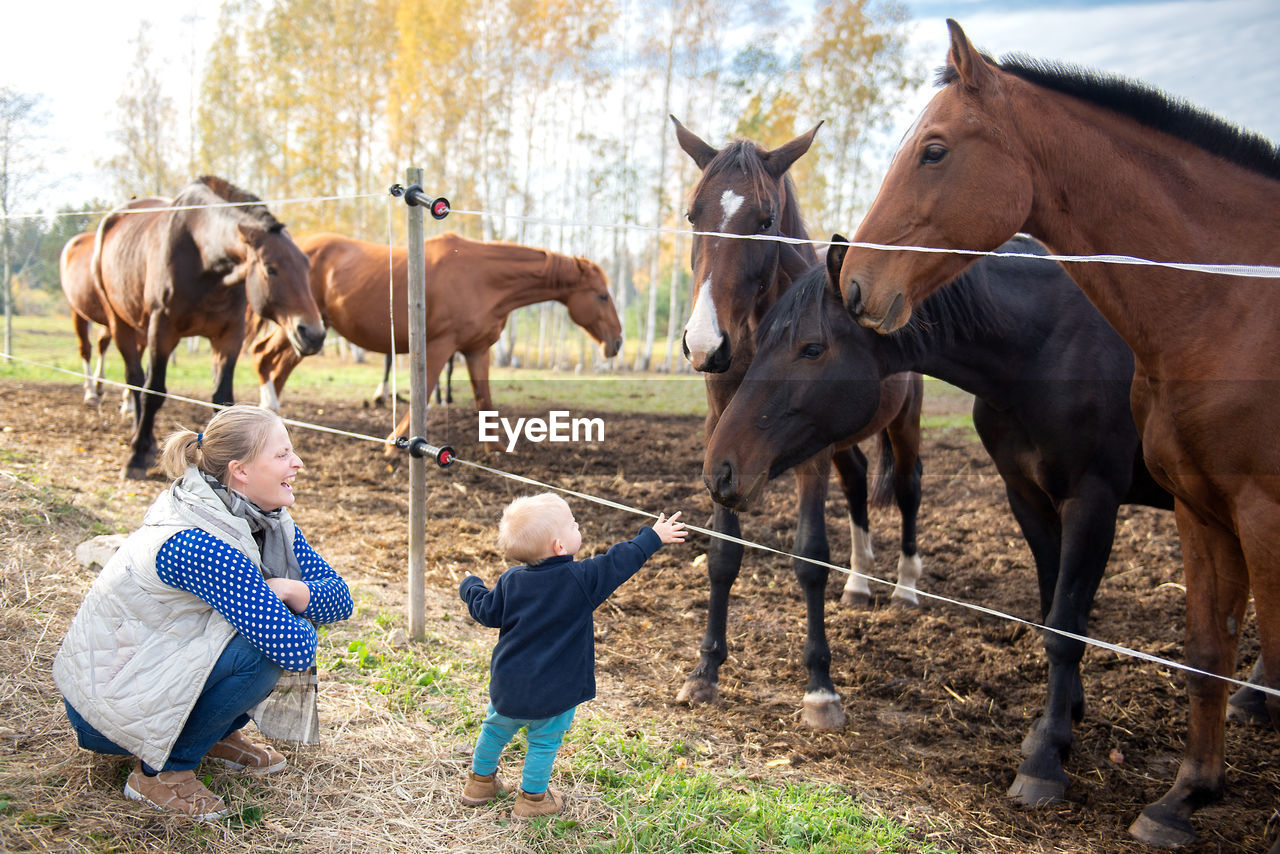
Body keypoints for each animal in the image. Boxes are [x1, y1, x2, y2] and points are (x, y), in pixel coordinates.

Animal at [92, 176, 325, 478]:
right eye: (270, 268)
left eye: (307, 266)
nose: (313, 334)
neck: (203, 259)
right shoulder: (162, 330)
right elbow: (154, 392)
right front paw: (135, 457)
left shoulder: (229, 336)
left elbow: (222, 399)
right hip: (120, 324)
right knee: (134, 380)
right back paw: (139, 443)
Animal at [245, 230, 624, 445]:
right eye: (602, 295)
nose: (617, 341)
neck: (484, 278)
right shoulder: (439, 346)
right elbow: (424, 394)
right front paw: (394, 443)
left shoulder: (476, 351)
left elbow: (484, 401)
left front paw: (494, 451)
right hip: (301, 327)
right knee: (263, 356)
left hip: (308, 334)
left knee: (276, 366)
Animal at [675, 117, 926, 732]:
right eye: (694, 215)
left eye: (765, 221)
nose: (705, 344)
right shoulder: (724, 437)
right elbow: (723, 554)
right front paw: (706, 670)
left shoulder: (807, 452)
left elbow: (810, 557)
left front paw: (820, 689)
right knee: (857, 481)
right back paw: (859, 584)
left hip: (903, 424)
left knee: (908, 489)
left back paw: (905, 588)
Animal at [711, 230, 1177, 814]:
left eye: (812, 348)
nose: (719, 467)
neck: (1045, 343)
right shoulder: (1028, 497)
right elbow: (1054, 609)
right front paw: (1061, 721)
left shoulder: (1092, 501)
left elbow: (1067, 626)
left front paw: (1046, 759)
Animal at [839, 18, 1280, 850]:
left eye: (934, 150)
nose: (855, 284)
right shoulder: (1081, 500)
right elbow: (1102, 625)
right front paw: (1157, 785)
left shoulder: (1109, 500)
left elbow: (1072, 621)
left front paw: (1048, 759)